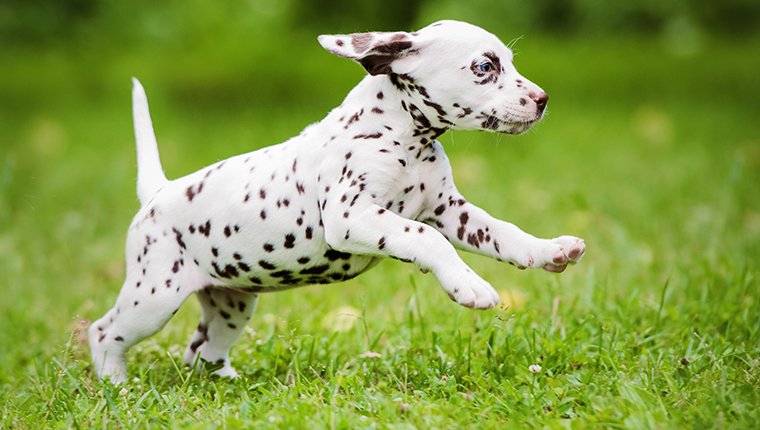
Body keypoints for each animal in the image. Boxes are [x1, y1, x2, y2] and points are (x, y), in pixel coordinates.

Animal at [90, 19, 588, 382]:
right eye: (485, 67)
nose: (542, 99)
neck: (403, 137)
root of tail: (159, 191)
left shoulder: (450, 211)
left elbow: (502, 232)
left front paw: (549, 250)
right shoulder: (352, 217)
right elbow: (424, 238)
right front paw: (470, 285)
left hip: (232, 303)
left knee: (201, 349)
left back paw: (225, 381)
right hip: (153, 297)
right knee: (104, 331)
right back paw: (115, 385)